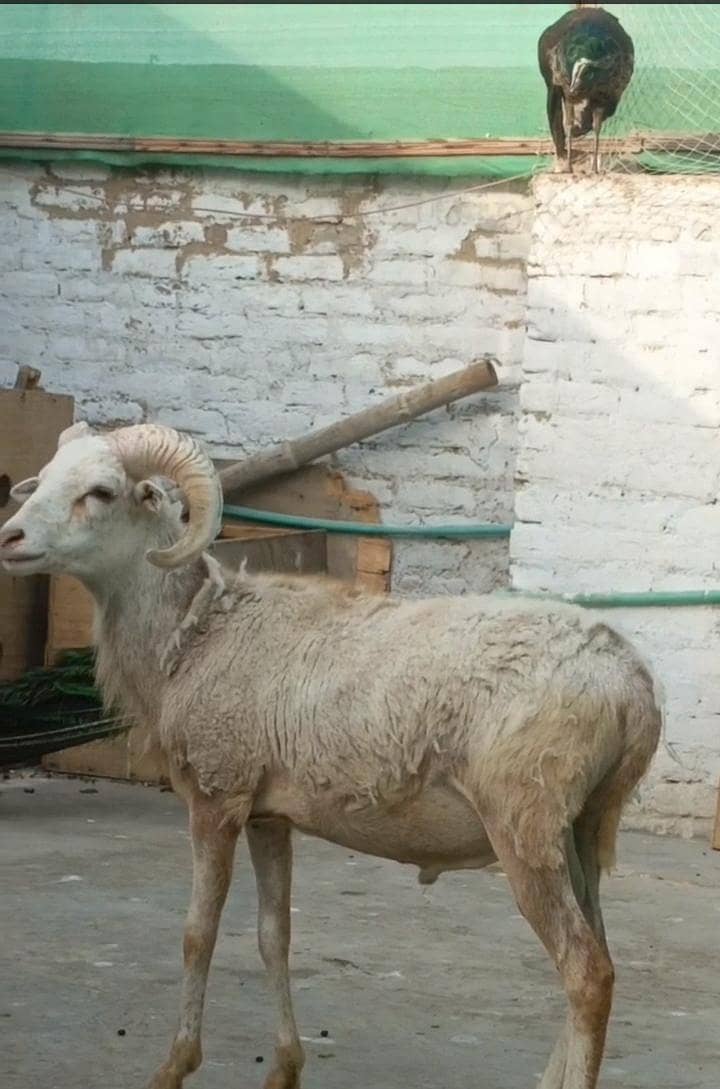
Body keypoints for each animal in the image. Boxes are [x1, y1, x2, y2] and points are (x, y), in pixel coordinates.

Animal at [0, 421, 662, 1089]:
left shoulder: (216, 796)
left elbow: (197, 933)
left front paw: (174, 1065)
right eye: (46, 477)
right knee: (600, 959)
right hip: (580, 831)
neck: (195, 634)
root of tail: (631, 683)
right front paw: (285, 1068)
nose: (10, 538)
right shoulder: (267, 815)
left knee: (584, 972)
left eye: (102, 492)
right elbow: (273, 935)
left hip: (525, 825)